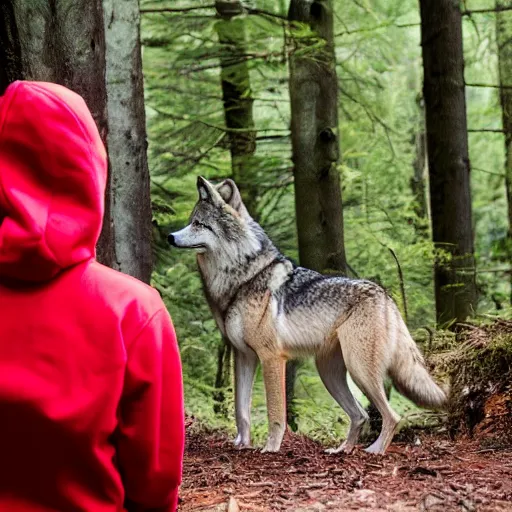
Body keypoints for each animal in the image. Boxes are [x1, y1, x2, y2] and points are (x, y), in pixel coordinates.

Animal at [169, 178, 448, 454]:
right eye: (191, 221)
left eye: (198, 224)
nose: (170, 237)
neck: (244, 276)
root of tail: (386, 297)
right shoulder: (243, 357)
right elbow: (241, 410)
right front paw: (242, 444)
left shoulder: (271, 358)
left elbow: (276, 414)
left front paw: (270, 448)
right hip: (331, 374)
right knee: (360, 415)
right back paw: (341, 450)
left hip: (359, 372)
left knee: (391, 416)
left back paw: (374, 451)